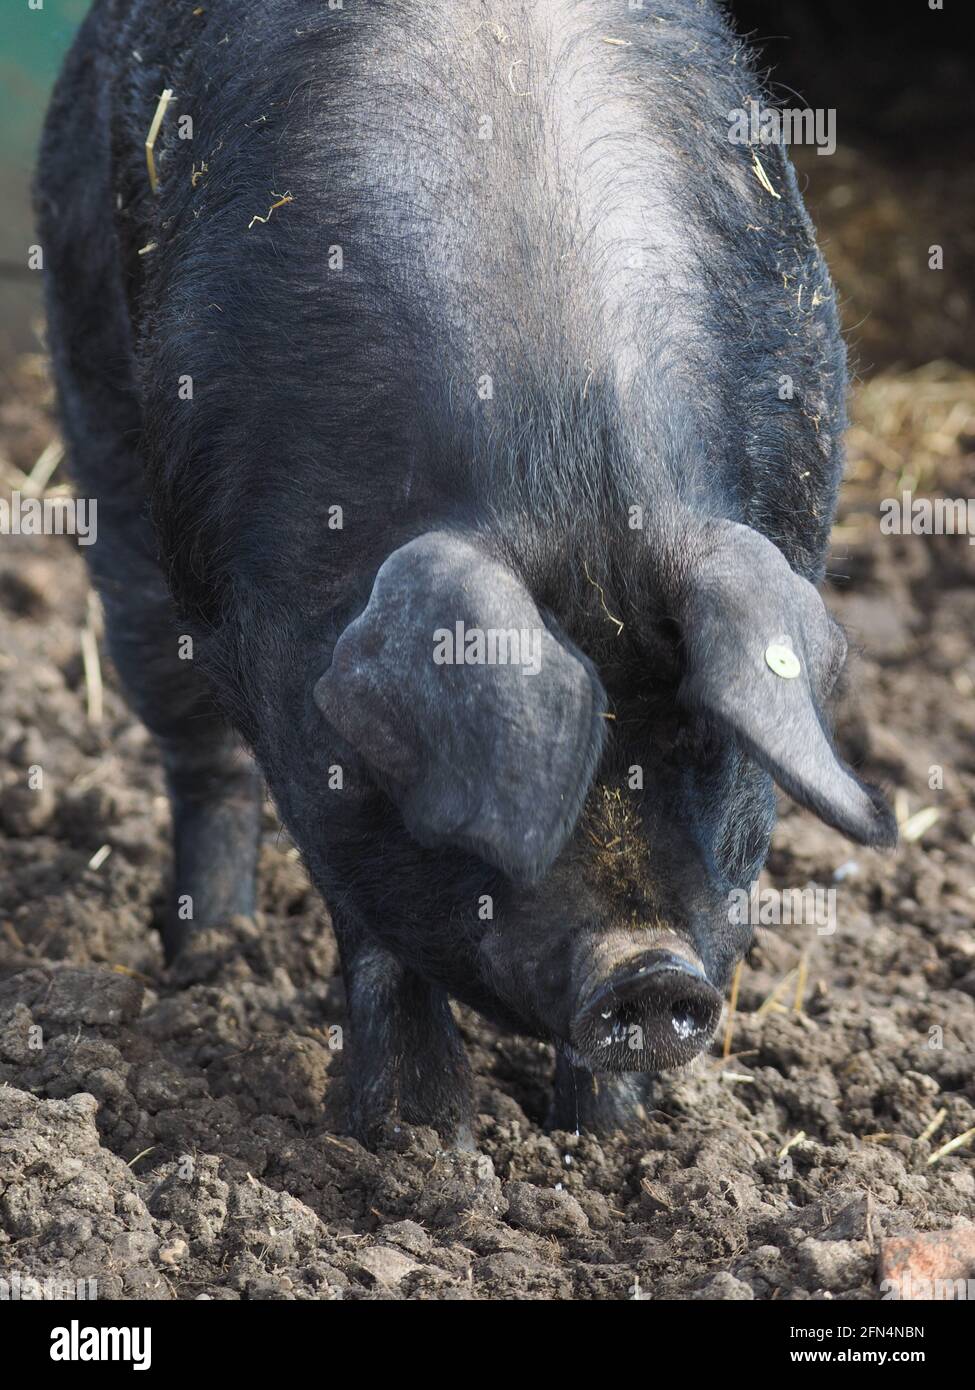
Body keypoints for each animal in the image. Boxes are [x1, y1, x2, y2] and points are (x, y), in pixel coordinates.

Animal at [38, 2, 890, 1139]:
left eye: (706, 743)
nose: (647, 971)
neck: (568, 453)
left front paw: (608, 1137)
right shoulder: (294, 693)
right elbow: (373, 924)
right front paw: (418, 1133)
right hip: (99, 405)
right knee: (194, 745)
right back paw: (208, 950)